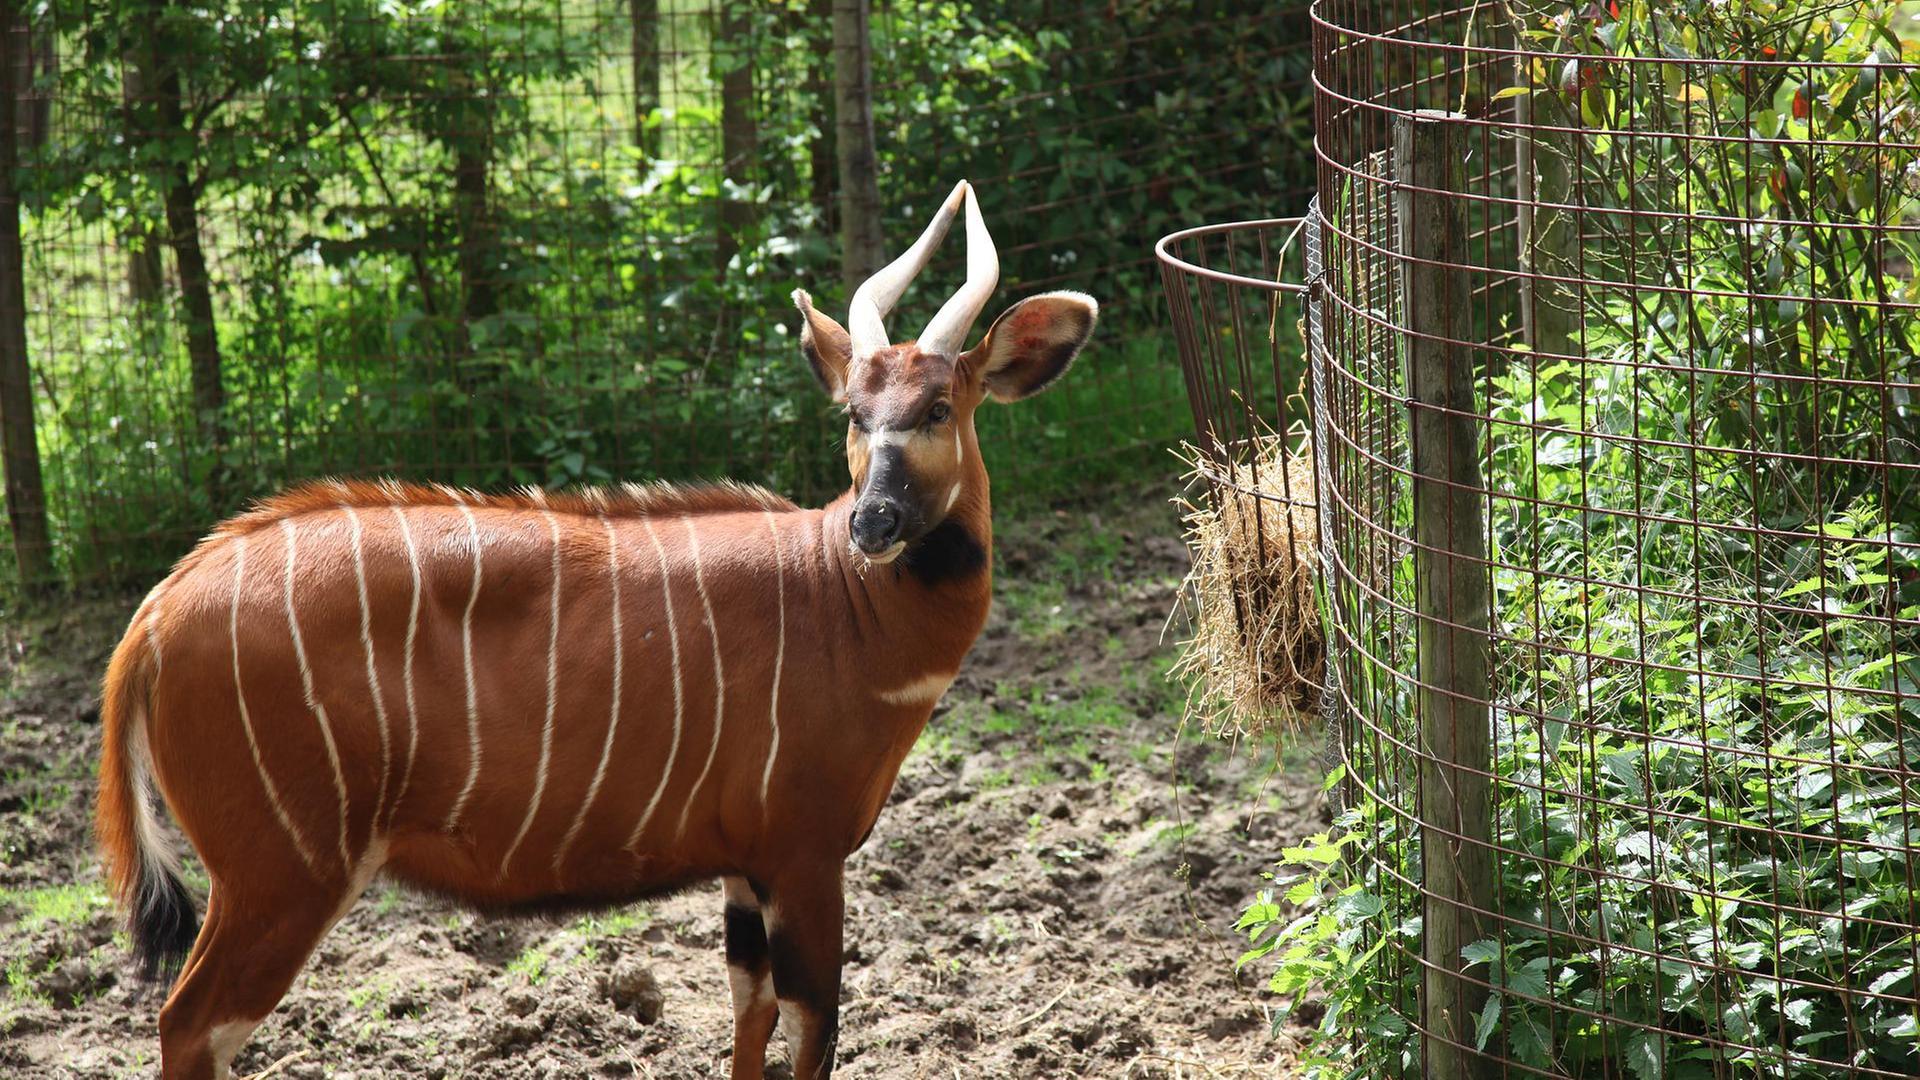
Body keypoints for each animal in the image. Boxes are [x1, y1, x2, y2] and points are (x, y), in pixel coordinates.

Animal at [97, 180, 1098, 1076]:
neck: (846, 605)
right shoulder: (806, 854)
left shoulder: (748, 866)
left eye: (937, 408)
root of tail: (157, 611)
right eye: (854, 414)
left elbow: (751, 1015)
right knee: (190, 1025)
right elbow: (812, 1029)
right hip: (284, 873)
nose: (874, 523)